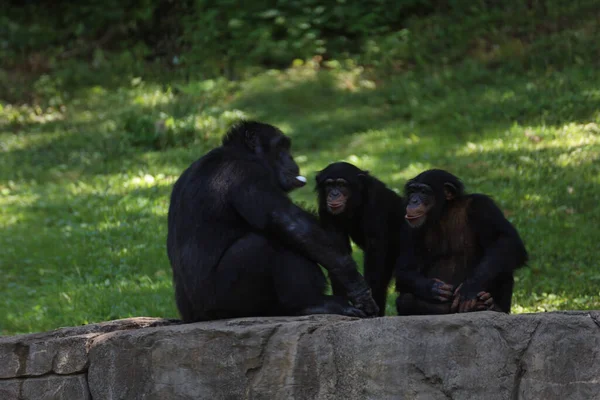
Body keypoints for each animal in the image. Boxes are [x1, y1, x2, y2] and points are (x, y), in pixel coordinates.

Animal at [166, 121, 378, 322]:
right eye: (281, 147)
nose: (291, 158)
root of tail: (191, 317)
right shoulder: (247, 174)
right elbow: (287, 222)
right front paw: (357, 286)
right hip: (221, 303)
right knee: (265, 242)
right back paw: (311, 304)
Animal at [314, 162, 408, 316]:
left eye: (342, 185)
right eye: (329, 185)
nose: (334, 194)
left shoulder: (376, 201)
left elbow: (374, 248)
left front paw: (369, 301)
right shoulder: (324, 209)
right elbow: (335, 250)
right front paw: (343, 304)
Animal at [396, 167, 528, 314]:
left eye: (424, 192)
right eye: (413, 191)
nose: (413, 201)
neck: (444, 212)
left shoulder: (482, 205)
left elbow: (508, 240)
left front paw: (470, 287)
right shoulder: (408, 226)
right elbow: (404, 269)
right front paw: (433, 288)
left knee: (502, 259)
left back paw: (492, 306)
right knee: (406, 300)